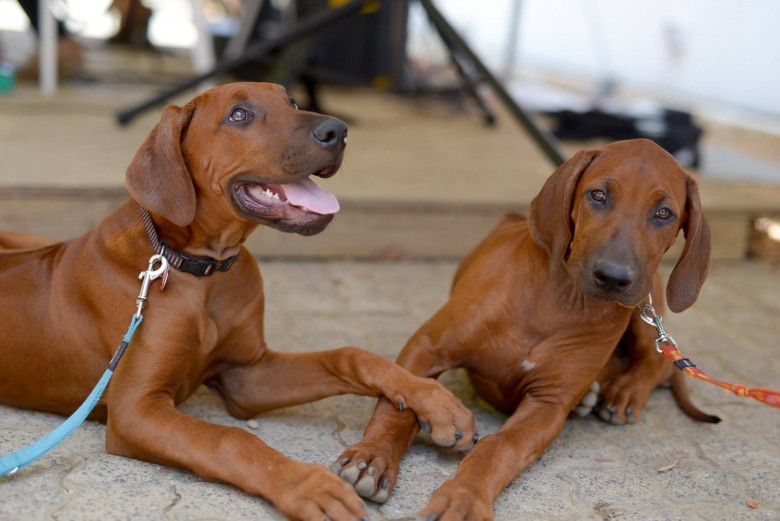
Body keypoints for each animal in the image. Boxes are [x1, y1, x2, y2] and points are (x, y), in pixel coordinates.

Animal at [0, 82, 476, 520]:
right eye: (239, 115)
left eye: (292, 102)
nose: (338, 131)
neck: (201, 270)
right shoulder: (136, 409)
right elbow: (232, 438)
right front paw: (307, 484)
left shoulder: (246, 376)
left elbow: (349, 354)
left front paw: (432, 398)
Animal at [336, 139, 720, 520]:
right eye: (598, 195)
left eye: (664, 213)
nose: (613, 277)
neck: (563, 300)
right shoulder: (427, 347)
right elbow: (398, 401)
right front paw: (373, 457)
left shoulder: (548, 403)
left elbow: (499, 446)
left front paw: (464, 496)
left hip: (644, 303)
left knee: (656, 361)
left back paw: (623, 392)